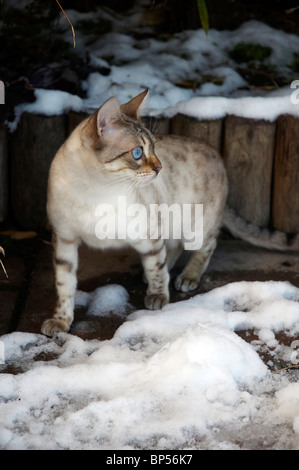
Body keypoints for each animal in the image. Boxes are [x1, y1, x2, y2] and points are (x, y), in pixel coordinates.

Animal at [41, 90, 299, 336]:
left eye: (153, 147)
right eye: (137, 153)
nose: (159, 167)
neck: (95, 190)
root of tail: (218, 157)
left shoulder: (147, 233)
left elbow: (156, 266)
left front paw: (157, 296)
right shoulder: (64, 239)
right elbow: (65, 285)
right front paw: (60, 321)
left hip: (195, 225)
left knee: (206, 245)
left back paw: (188, 277)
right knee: (174, 247)